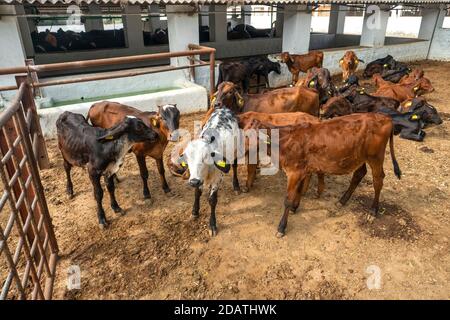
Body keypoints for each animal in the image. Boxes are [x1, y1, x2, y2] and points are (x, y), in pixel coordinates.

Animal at [250, 113, 400, 238]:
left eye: (256, 136)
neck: (285, 141)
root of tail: (386, 117)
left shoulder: (294, 172)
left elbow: (288, 199)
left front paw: (281, 227)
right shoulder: (302, 170)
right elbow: (299, 191)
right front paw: (295, 207)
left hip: (376, 157)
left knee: (378, 180)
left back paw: (373, 211)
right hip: (360, 157)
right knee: (359, 173)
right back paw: (342, 200)